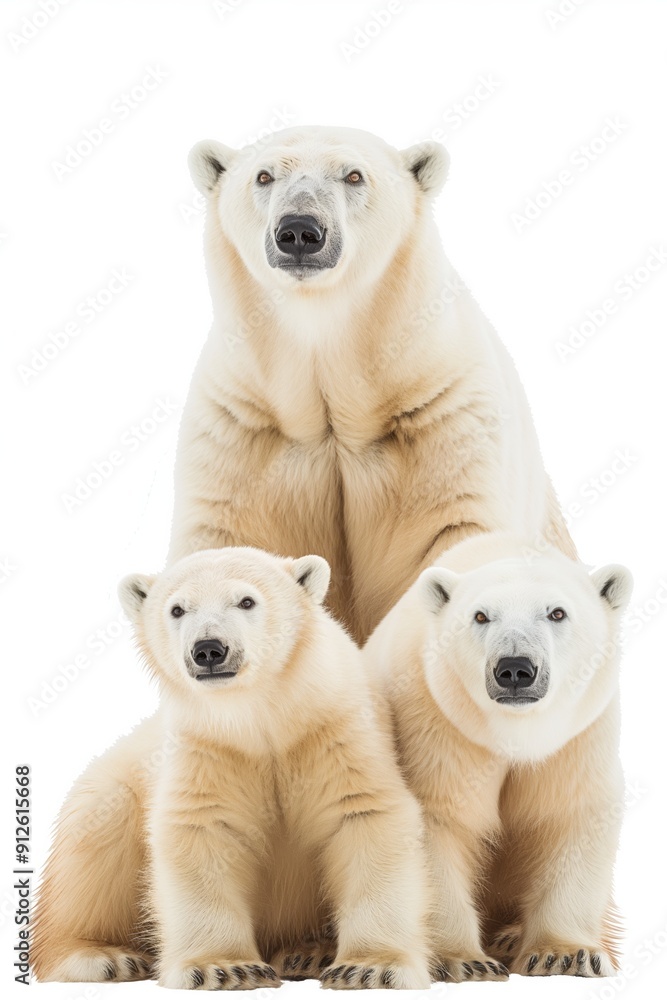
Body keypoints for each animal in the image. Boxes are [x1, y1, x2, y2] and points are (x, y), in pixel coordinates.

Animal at [34, 548, 431, 990]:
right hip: (115, 784)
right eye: (177, 609)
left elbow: (365, 814)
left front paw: (368, 967)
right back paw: (102, 957)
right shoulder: (208, 748)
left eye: (246, 601)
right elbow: (202, 828)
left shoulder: (337, 731)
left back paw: (307, 952)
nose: (209, 649)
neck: (261, 716)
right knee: (95, 843)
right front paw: (224, 968)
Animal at [363, 531, 632, 981]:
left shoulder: (578, 737)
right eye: (480, 616)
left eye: (557, 612)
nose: (515, 669)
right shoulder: (435, 721)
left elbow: (571, 813)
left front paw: (565, 954)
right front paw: (460, 960)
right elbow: (437, 820)